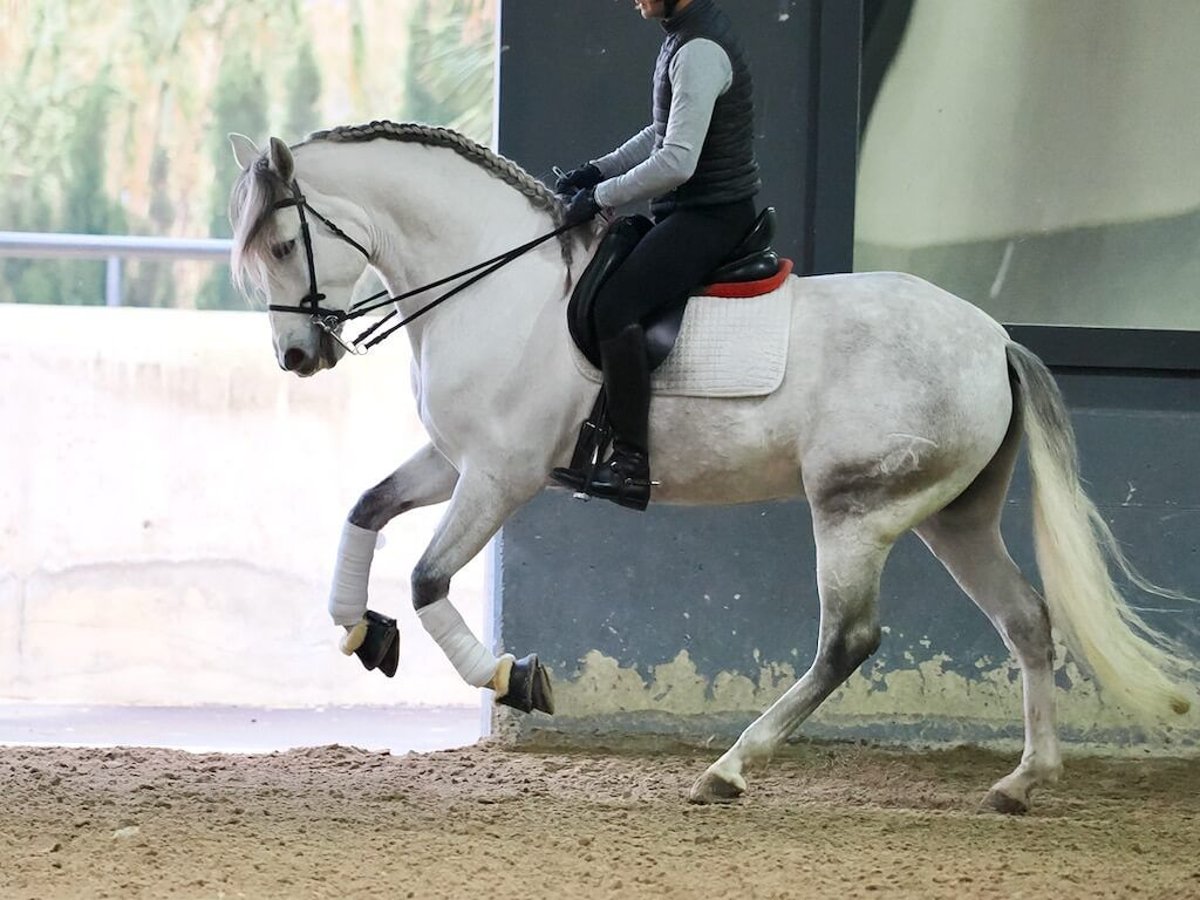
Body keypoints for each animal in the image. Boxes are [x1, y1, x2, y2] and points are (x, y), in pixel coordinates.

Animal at [229, 116, 1195, 816]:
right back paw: (1022, 783)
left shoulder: (502, 474)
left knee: (848, 642)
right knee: (1026, 621)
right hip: (951, 517)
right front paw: (360, 631)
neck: (496, 287)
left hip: (854, 511)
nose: (296, 358)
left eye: (280, 246)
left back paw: (729, 770)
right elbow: (363, 509)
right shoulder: (452, 458)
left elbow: (429, 578)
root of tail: (995, 340)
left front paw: (515, 679)